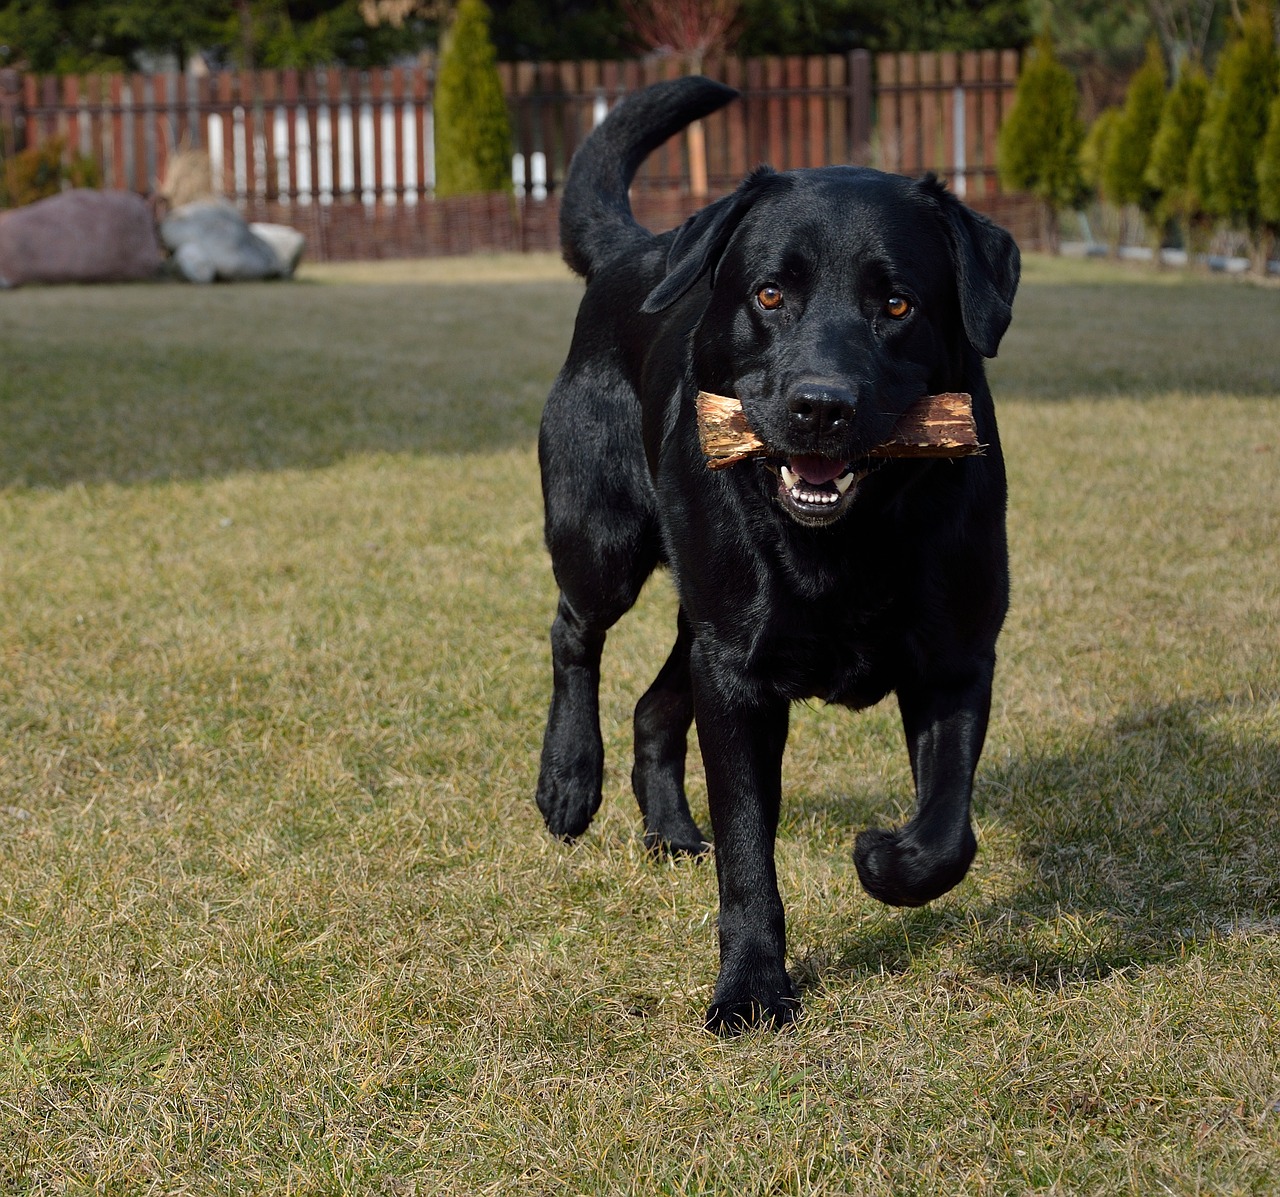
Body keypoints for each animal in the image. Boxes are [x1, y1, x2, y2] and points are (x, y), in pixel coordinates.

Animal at [532, 74, 1018, 1034]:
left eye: (897, 303)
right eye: (768, 295)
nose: (820, 405)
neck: (849, 541)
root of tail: (636, 251)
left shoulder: (956, 658)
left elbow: (947, 830)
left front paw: (884, 858)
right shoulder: (741, 678)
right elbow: (750, 847)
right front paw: (752, 986)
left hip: (703, 609)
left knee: (652, 702)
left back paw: (670, 830)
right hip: (604, 539)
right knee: (575, 632)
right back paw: (568, 782)